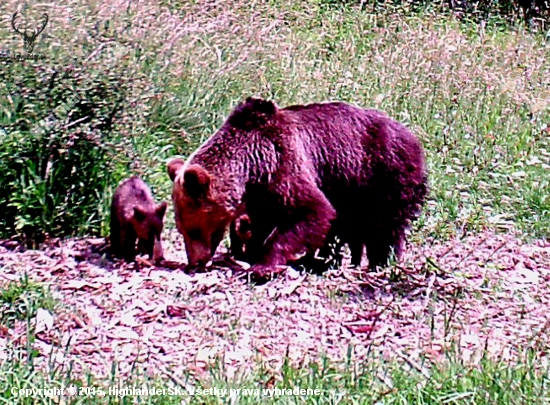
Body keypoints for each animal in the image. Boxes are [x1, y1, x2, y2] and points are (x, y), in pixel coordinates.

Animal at [168, 98, 432, 278]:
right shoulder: (262, 194)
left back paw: (380, 262)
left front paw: (264, 265)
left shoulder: (284, 161)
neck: (252, 167)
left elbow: (312, 209)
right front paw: (252, 252)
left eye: (192, 229)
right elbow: (263, 222)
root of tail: (414, 138)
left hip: (384, 174)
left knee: (385, 227)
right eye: (182, 228)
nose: (194, 262)